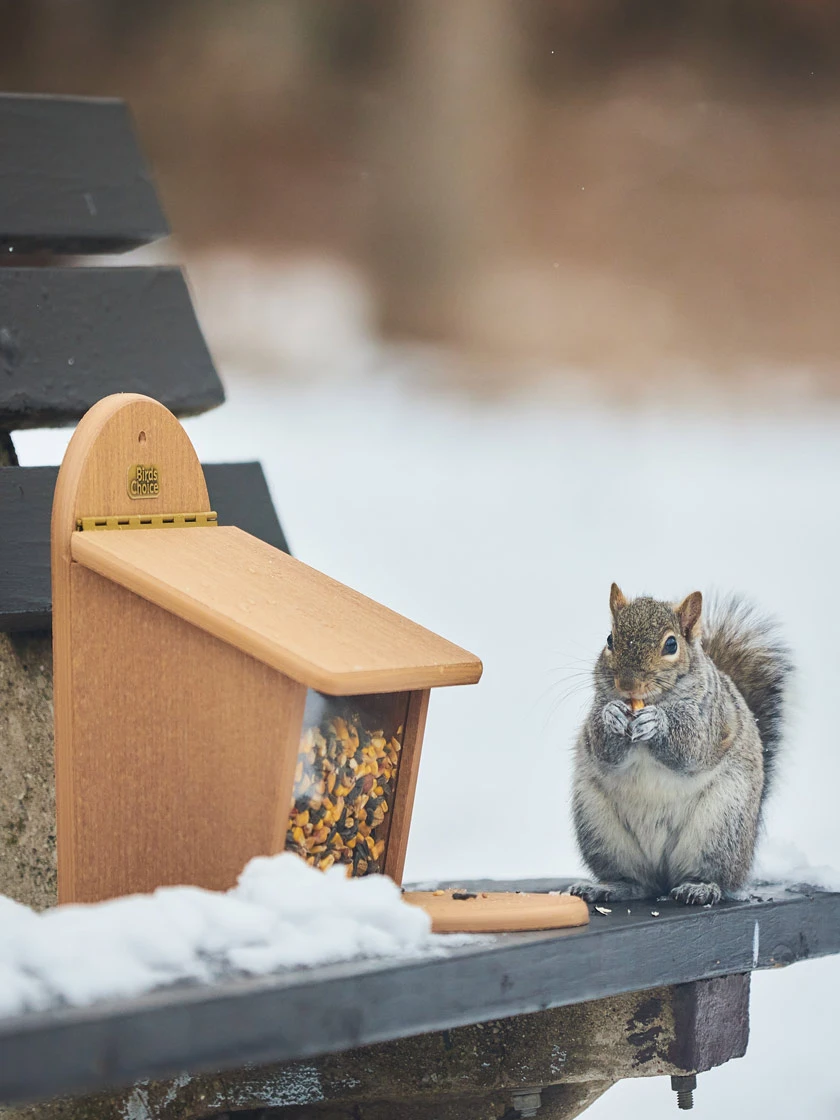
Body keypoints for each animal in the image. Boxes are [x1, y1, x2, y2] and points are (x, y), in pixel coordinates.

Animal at [570, 584, 792, 906]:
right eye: (610, 639)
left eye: (671, 645)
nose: (627, 684)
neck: (652, 700)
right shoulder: (597, 712)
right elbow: (601, 746)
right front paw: (612, 716)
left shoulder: (710, 718)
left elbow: (691, 746)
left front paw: (657, 723)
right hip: (600, 830)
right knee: (638, 882)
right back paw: (611, 887)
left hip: (720, 829)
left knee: (713, 876)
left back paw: (700, 888)